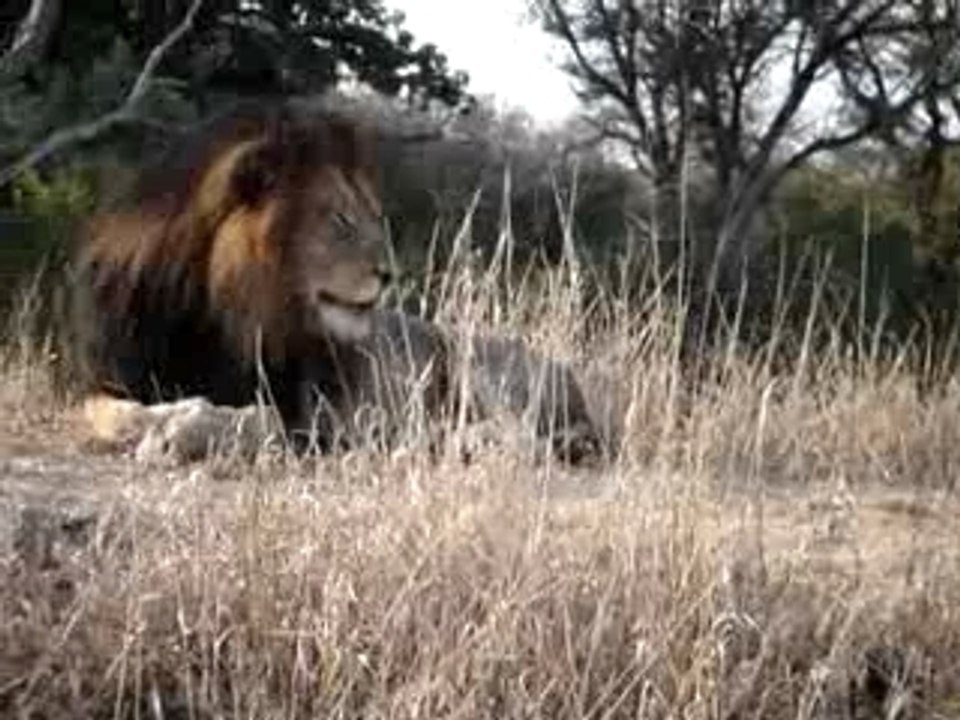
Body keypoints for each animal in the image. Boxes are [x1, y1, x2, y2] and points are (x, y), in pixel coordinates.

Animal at [71, 100, 605, 464]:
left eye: (372, 216)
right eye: (341, 220)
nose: (389, 274)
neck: (216, 312)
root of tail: (578, 384)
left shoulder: (313, 417)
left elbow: (256, 420)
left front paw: (179, 431)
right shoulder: (111, 376)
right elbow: (103, 411)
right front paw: (157, 422)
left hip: (475, 362)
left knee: (524, 437)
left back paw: (457, 440)